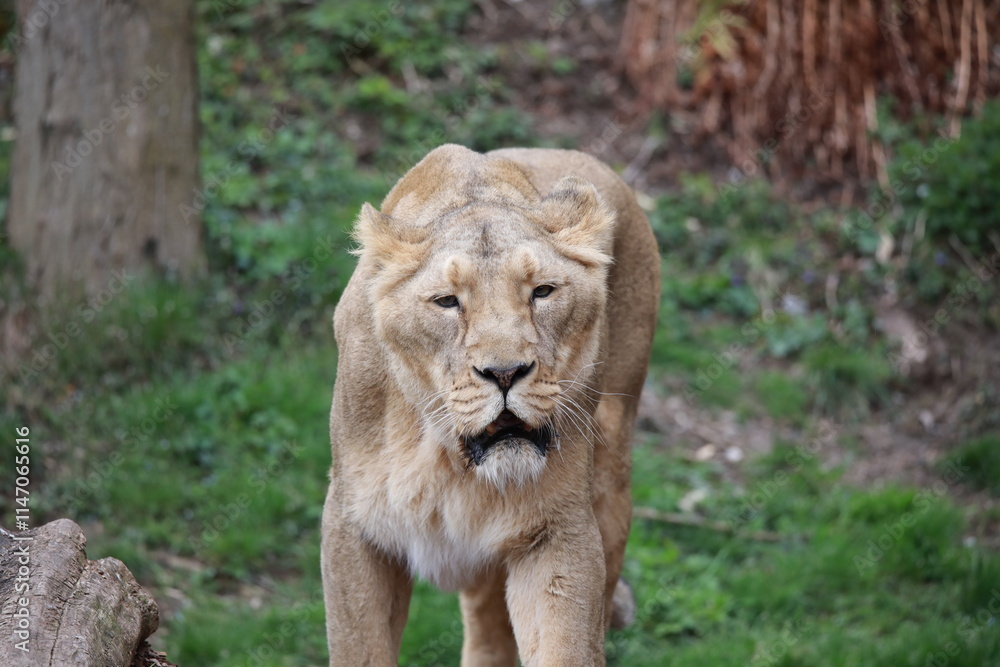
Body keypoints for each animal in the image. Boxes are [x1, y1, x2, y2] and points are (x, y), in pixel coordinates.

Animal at [321, 144, 660, 666]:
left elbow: (566, 644)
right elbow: (358, 646)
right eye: (446, 301)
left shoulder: (557, 530)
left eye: (543, 291)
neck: (447, 457)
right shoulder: (351, 522)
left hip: (611, 477)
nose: (505, 373)